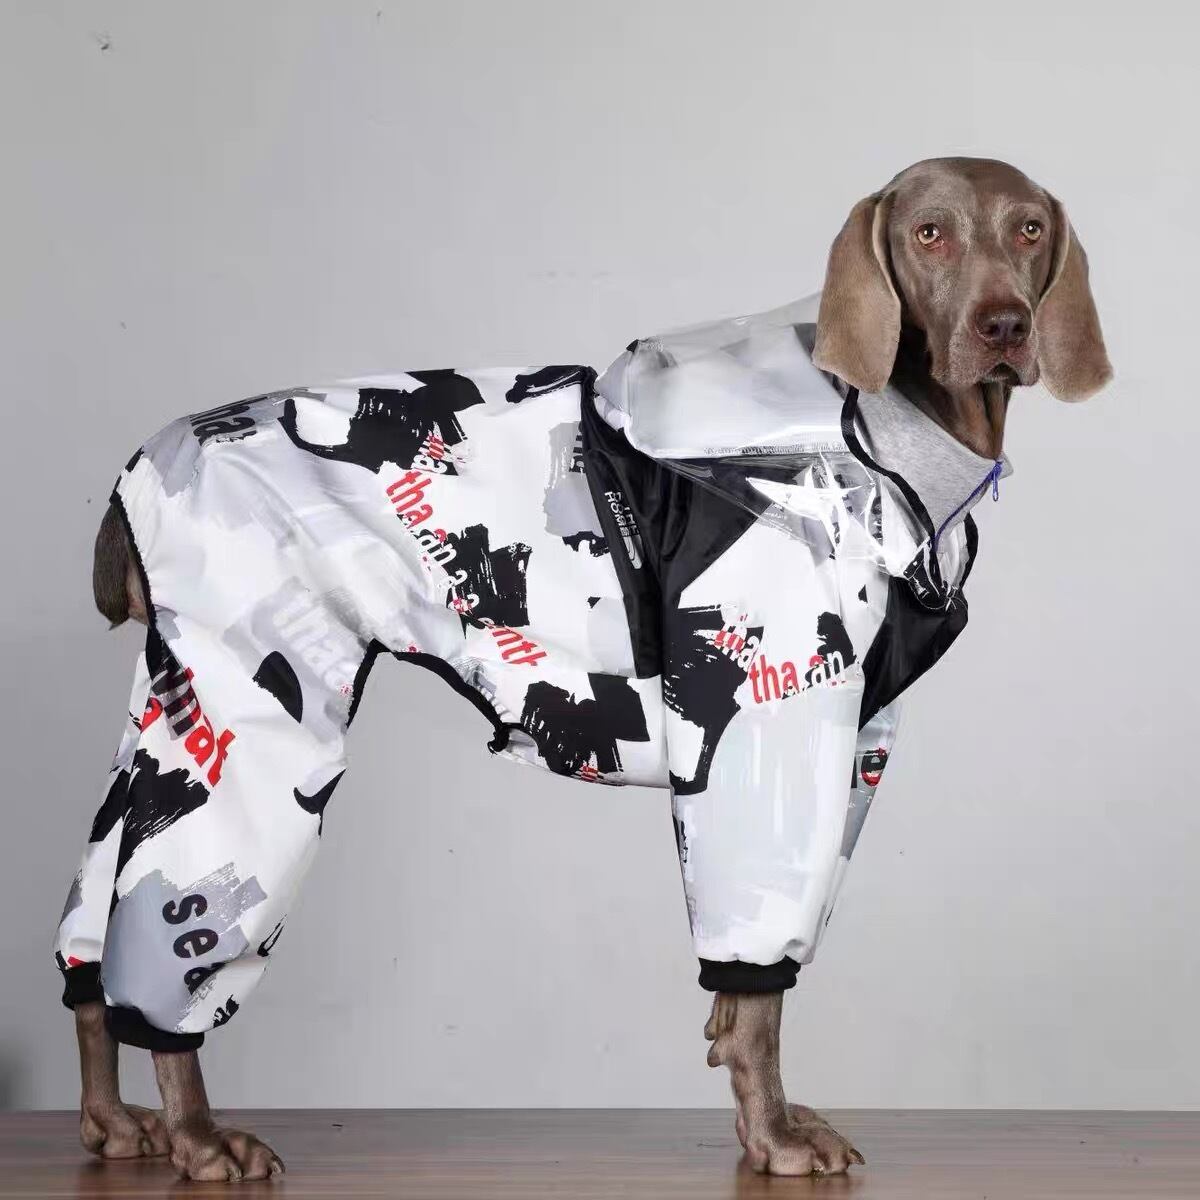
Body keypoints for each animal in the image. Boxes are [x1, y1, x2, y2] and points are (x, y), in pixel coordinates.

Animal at [56, 157, 1110, 1180]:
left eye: (1028, 229)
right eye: (929, 232)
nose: (1005, 325)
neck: (884, 443)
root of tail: (135, 467)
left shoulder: (857, 745)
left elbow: (743, 1005)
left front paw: (759, 1111)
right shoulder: (775, 738)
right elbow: (758, 989)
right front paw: (774, 1139)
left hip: (161, 714)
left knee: (89, 940)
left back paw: (114, 1122)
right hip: (255, 724)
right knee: (163, 950)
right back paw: (197, 1135)